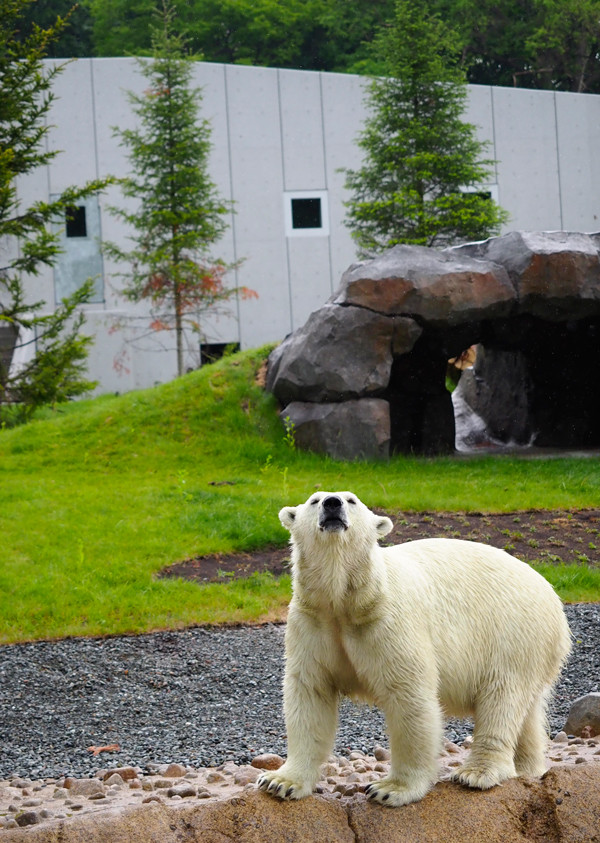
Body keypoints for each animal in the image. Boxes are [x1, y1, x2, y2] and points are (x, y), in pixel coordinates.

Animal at [256, 492, 572, 808]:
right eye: (314, 500)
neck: (346, 601)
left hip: (513, 633)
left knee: (502, 698)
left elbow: (409, 696)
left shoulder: (389, 621)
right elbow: (310, 692)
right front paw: (279, 782)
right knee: (526, 713)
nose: (333, 503)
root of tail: (551, 592)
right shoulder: (313, 622)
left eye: (352, 500)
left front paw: (390, 789)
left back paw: (476, 773)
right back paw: (528, 768)